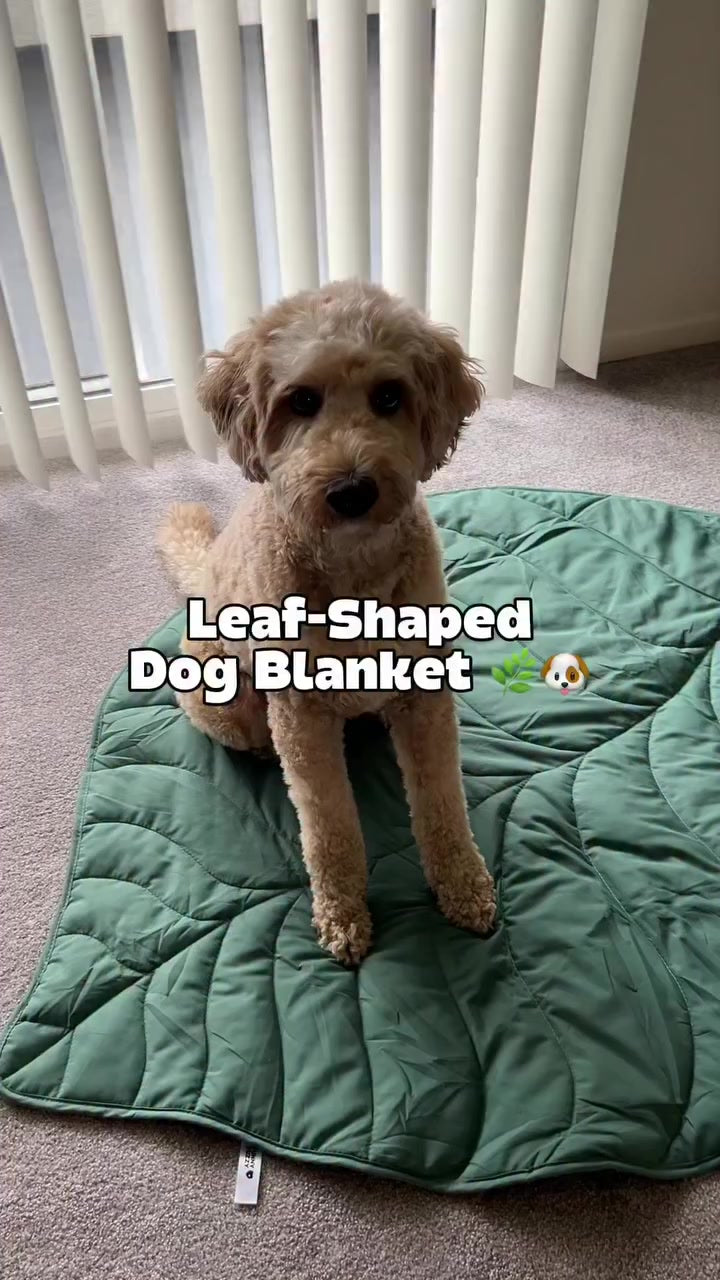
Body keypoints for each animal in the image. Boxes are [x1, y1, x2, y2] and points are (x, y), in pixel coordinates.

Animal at [158, 279, 495, 964]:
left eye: (390, 396)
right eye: (301, 401)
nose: (351, 490)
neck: (353, 572)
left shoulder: (425, 696)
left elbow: (442, 800)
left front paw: (464, 885)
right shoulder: (302, 716)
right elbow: (329, 823)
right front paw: (343, 914)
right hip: (225, 700)